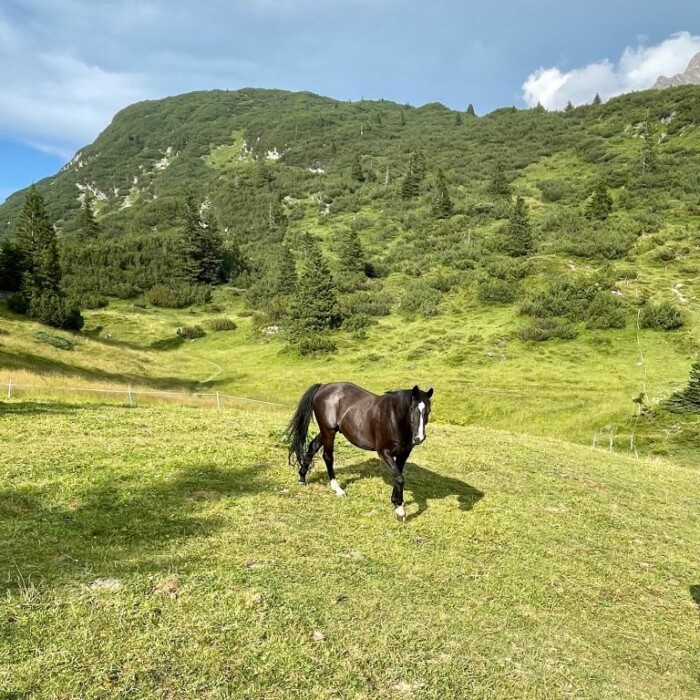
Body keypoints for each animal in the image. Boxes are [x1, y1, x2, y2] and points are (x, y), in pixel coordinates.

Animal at [284, 382, 434, 521]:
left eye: (428, 410)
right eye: (412, 408)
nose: (419, 438)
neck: (394, 418)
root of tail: (323, 387)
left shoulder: (403, 454)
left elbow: (398, 476)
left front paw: (397, 504)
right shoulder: (384, 452)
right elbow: (399, 478)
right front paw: (400, 511)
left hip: (327, 432)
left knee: (312, 446)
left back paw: (302, 477)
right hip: (329, 431)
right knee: (328, 457)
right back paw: (337, 489)